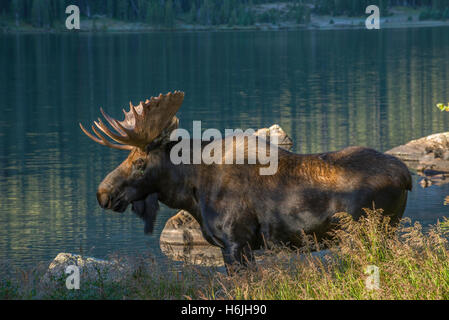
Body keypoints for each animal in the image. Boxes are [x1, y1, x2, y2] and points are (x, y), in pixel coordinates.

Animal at [79, 90, 412, 270]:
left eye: (139, 163)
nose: (102, 193)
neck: (192, 192)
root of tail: (407, 176)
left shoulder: (235, 242)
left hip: (373, 231)